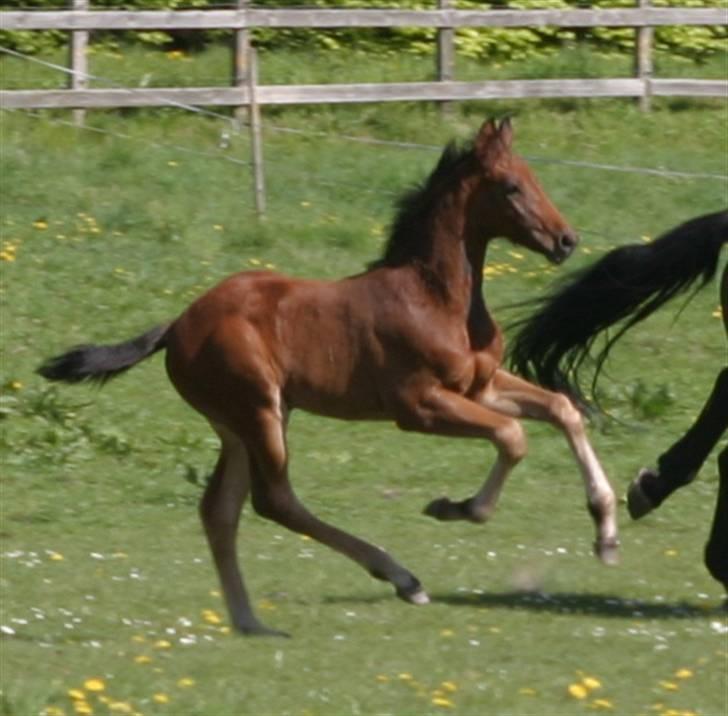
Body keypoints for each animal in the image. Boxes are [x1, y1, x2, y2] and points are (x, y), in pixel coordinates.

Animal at [39, 119, 616, 636]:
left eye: (535, 177)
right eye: (512, 186)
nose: (566, 240)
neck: (437, 298)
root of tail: (177, 324)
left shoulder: (481, 385)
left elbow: (562, 409)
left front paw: (605, 532)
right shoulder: (419, 404)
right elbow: (513, 437)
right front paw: (457, 507)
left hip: (239, 424)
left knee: (220, 509)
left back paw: (251, 622)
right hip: (259, 410)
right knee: (274, 501)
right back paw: (401, 578)